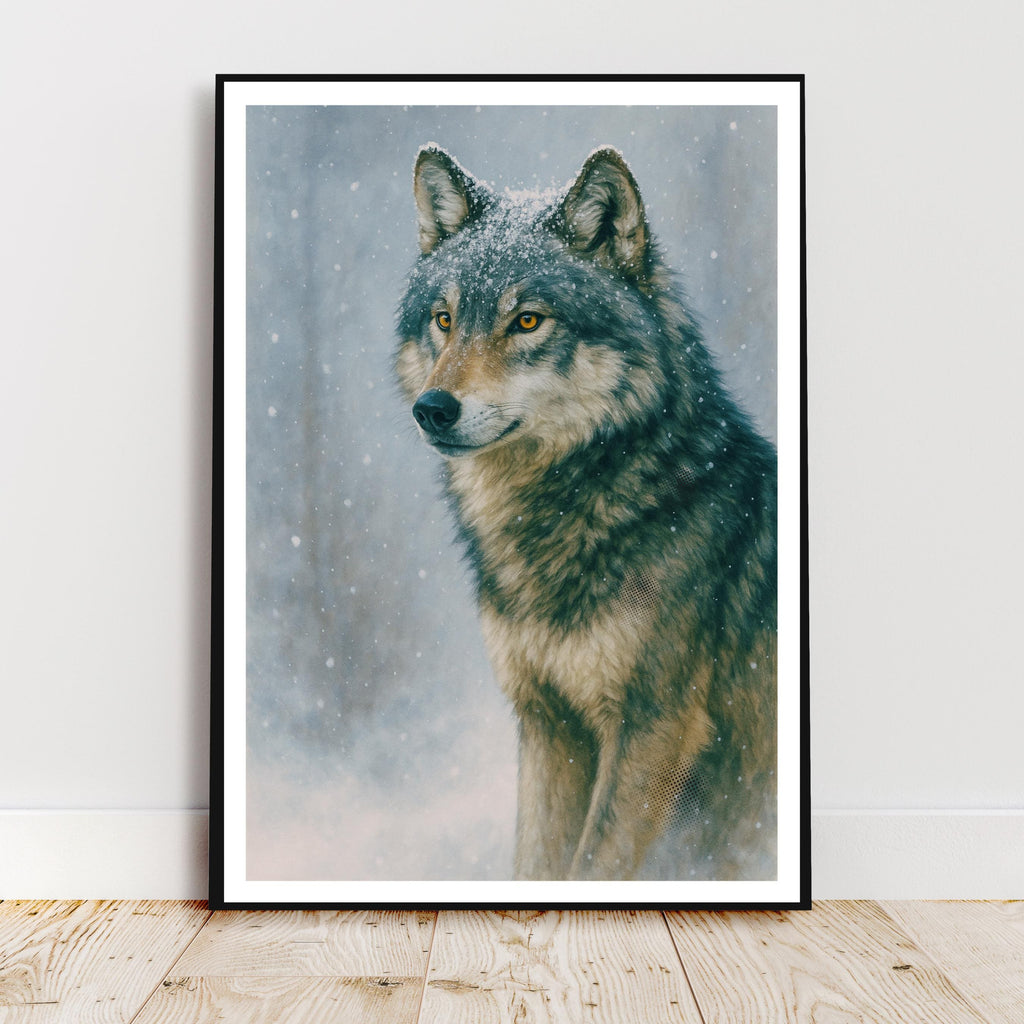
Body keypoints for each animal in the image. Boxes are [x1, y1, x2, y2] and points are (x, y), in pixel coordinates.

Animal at [395, 144, 777, 881]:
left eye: (527, 320)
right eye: (444, 319)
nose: (432, 409)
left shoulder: (651, 732)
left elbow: (588, 869)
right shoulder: (548, 724)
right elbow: (535, 864)